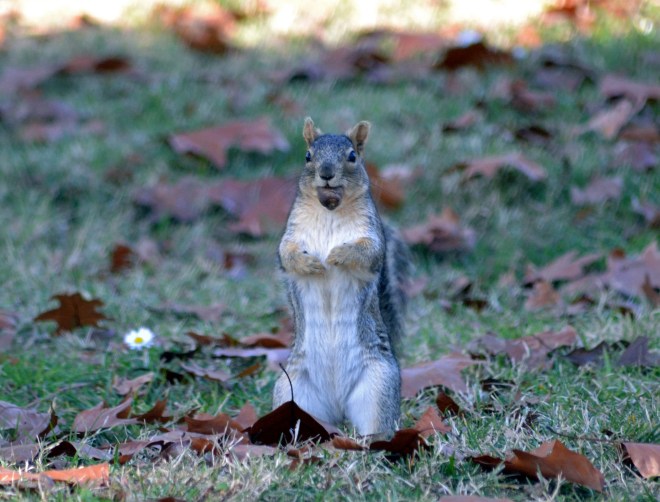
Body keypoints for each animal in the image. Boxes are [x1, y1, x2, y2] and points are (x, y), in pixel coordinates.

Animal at [273, 117, 410, 437]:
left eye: (352, 156)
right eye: (307, 156)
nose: (326, 174)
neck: (330, 211)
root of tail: (338, 408)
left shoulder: (371, 236)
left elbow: (369, 253)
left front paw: (337, 253)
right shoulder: (291, 235)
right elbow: (287, 255)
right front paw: (311, 263)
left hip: (378, 385)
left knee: (376, 422)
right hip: (290, 390)